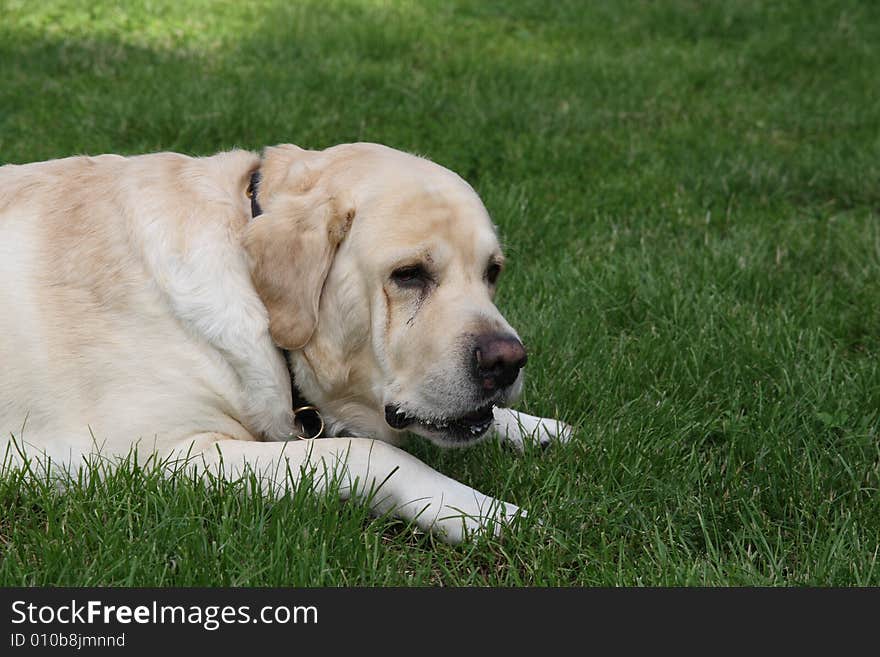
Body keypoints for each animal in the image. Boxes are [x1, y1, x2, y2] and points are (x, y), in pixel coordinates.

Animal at [0, 145, 572, 544]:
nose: (508, 361)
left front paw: (535, 428)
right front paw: (489, 514)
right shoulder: (144, 459)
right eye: (408, 274)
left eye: (492, 272)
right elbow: (368, 453)